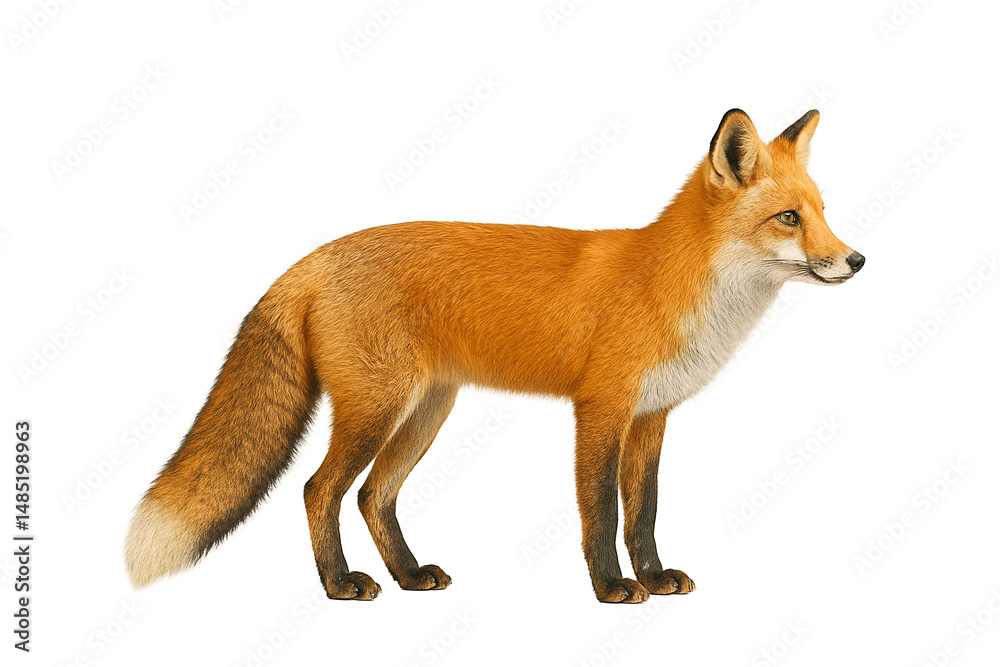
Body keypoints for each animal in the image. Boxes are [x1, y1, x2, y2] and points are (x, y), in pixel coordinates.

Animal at [125, 108, 864, 603]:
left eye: (825, 211)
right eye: (789, 219)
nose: (856, 260)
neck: (671, 286)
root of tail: (312, 258)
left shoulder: (652, 417)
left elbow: (644, 512)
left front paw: (653, 577)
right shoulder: (600, 409)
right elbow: (600, 512)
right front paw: (611, 588)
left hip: (426, 411)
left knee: (372, 494)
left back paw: (408, 574)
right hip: (375, 410)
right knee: (319, 489)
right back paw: (339, 583)